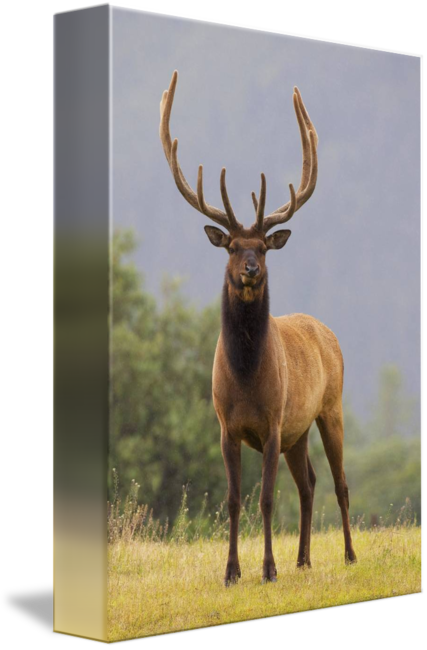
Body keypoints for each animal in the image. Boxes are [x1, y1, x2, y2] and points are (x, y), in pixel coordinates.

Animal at [159, 70, 357, 585]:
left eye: (263, 248)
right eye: (231, 246)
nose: (250, 269)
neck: (247, 379)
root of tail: (327, 331)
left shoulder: (271, 423)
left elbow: (266, 500)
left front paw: (267, 569)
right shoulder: (226, 426)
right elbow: (232, 500)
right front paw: (231, 571)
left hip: (330, 407)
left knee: (340, 483)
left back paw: (348, 555)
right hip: (298, 430)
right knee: (309, 484)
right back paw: (304, 559)